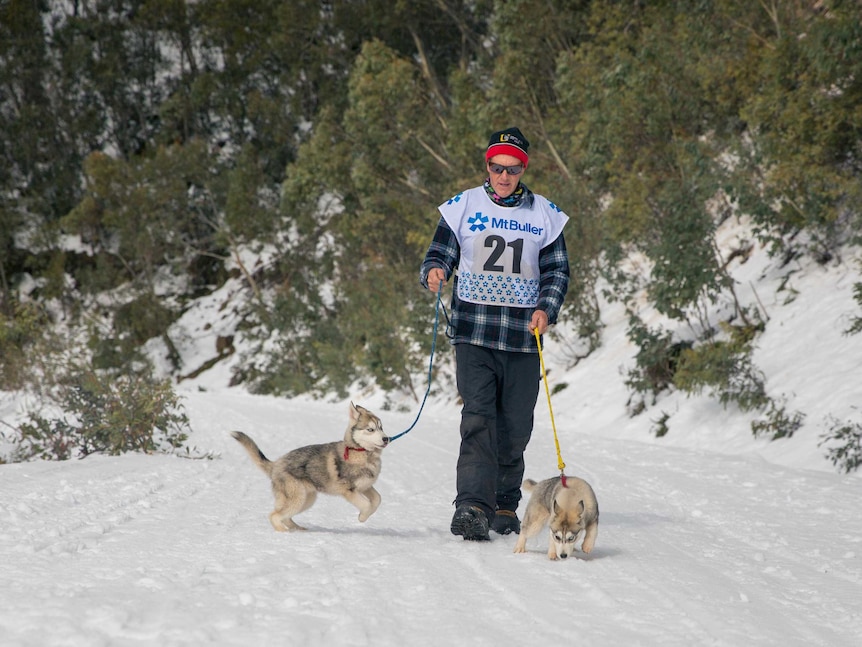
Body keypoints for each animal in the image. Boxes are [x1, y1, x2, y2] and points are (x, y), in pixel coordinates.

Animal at [231, 402, 390, 536]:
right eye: (370, 429)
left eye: (381, 428)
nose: (386, 439)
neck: (361, 452)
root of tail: (276, 464)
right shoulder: (349, 491)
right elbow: (366, 504)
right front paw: (362, 517)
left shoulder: (366, 487)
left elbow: (377, 499)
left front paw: (366, 514)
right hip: (298, 498)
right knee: (274, 515)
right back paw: (284, 532)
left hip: (307, 500)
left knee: (284, 516)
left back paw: (298, 529)